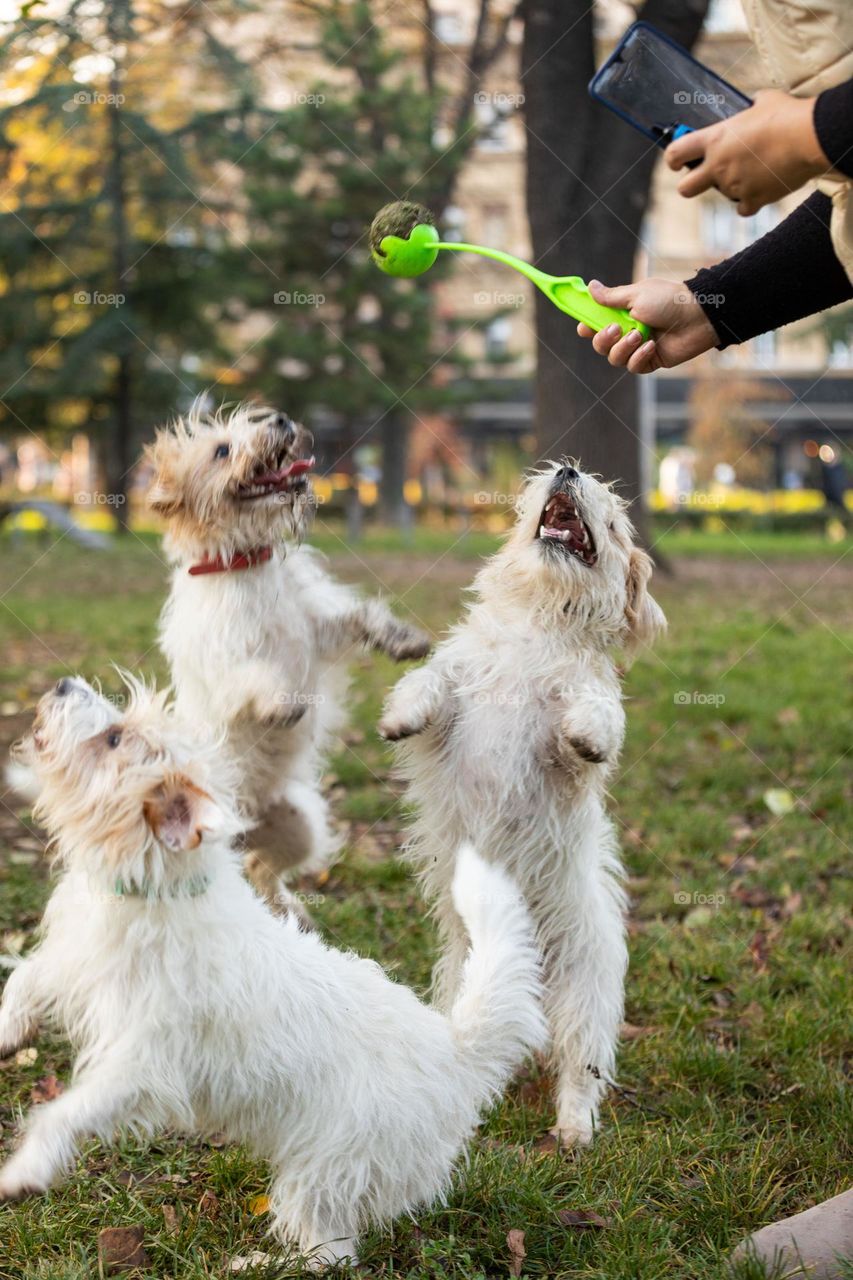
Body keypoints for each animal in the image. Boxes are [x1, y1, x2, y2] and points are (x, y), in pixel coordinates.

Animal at [144, 404, 432, 906]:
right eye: (222, 450)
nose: (279, 420)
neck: (248, 564)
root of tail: (246, 823)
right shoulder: (228, 673)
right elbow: (261, 677)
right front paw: (285, 706)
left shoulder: (318, 633)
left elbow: (361, 616)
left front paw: (402, 638)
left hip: (299, 826)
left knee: (261, 868)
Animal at [379, 460, 666, 1152]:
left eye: (613, 519)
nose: (568, 468)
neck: (538, 625)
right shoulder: (456, 687)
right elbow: (429, 679)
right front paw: (401, 713)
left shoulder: (574, 727)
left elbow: (596, 711)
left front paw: (588, 732)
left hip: (585, 995)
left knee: (580, 1068)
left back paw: (573, 1127)